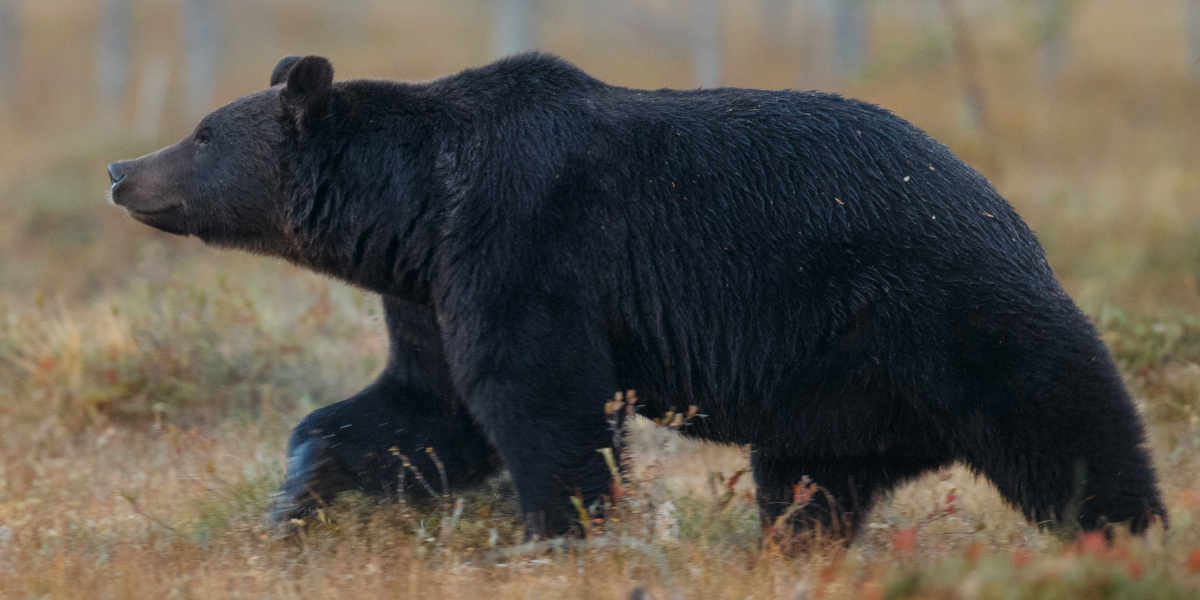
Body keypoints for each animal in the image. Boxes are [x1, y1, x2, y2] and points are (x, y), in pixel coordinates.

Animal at [106, 52, 1167, 542]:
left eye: (201, 132)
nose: (121, 168)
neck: (416, 208)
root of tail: (1011, 214)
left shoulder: (529, 241)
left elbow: (542, 403)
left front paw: (561, 534)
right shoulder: (433, 288)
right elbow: (420, 411)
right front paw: (295, 500)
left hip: (943, 311)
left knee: (1071, 427)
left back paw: (1127, 535)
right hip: (833, 395)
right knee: (808, 490)